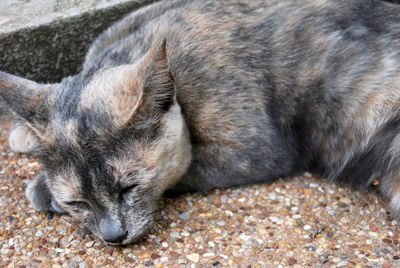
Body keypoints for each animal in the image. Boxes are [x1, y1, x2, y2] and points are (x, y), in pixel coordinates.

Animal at [0, 0, 400, 245]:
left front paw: (40, 188)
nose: (114, 235)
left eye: (129, 188)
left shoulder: (253, 151)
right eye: (77, 203)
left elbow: (180, 171)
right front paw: (22, 134)